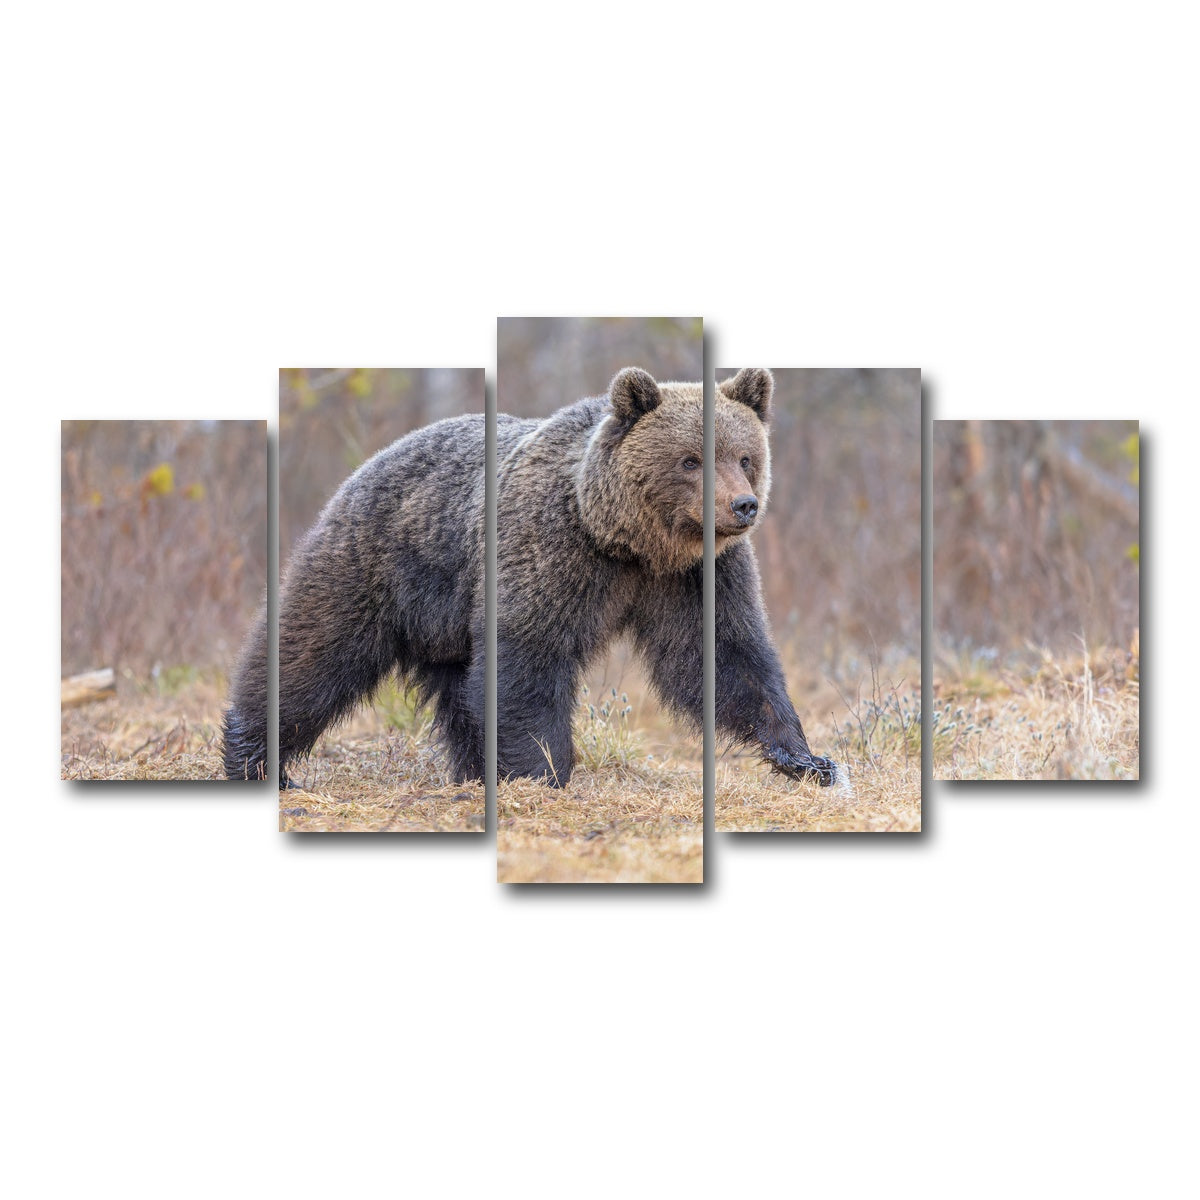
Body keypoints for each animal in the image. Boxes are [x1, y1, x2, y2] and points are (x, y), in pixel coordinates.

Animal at [221, 367, 836, 790]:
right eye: (690, 459)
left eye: (745, 456)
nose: (743, 505)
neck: (627, 541)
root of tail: (372, 460)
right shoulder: (551, 550)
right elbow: (528, 656)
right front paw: (544, 770)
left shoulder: (698, 575)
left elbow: (726, 654)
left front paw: (808, 758)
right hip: (379, 562)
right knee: (314, 651)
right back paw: (256, 758)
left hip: (447, 619)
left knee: (457, 690)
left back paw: (474, 770)